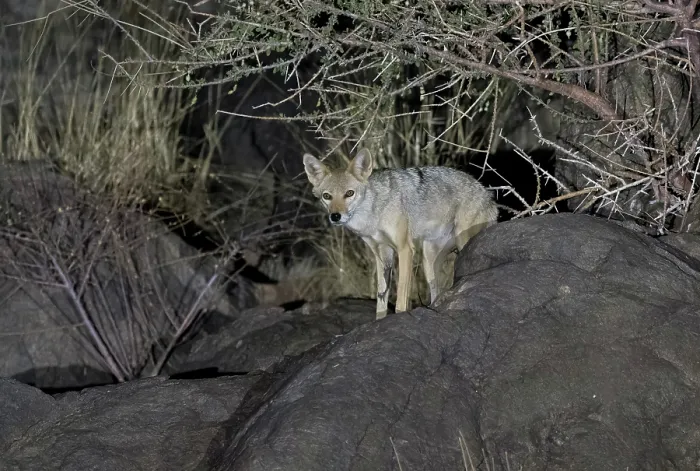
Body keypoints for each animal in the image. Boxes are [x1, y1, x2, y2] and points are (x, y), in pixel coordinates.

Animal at [303, 147, 498, 319]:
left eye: (349, 193)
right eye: (327, 196)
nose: (336, 216)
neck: (374, 214)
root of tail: (487, 195)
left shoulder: (405, 250)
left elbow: (400, 301)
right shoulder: (382, 256)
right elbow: (381, 301)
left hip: (462, 243)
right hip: (428, 261)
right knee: (436, 292)